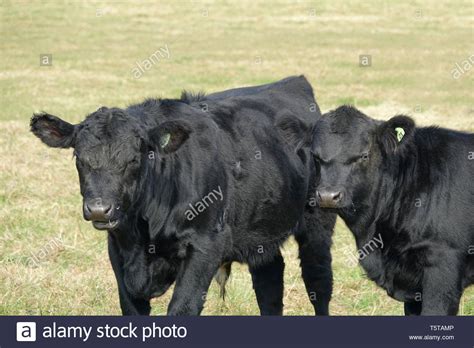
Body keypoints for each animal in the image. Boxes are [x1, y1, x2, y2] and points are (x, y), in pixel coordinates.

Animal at [31, 77, 336, 316]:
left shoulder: (206, 244)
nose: (98, 209)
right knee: (269, 282)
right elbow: (131, 308)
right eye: (79, 158)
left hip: (318, 221)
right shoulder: (118, 251)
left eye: (134, 159)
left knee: (318, 281)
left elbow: (182, 307)